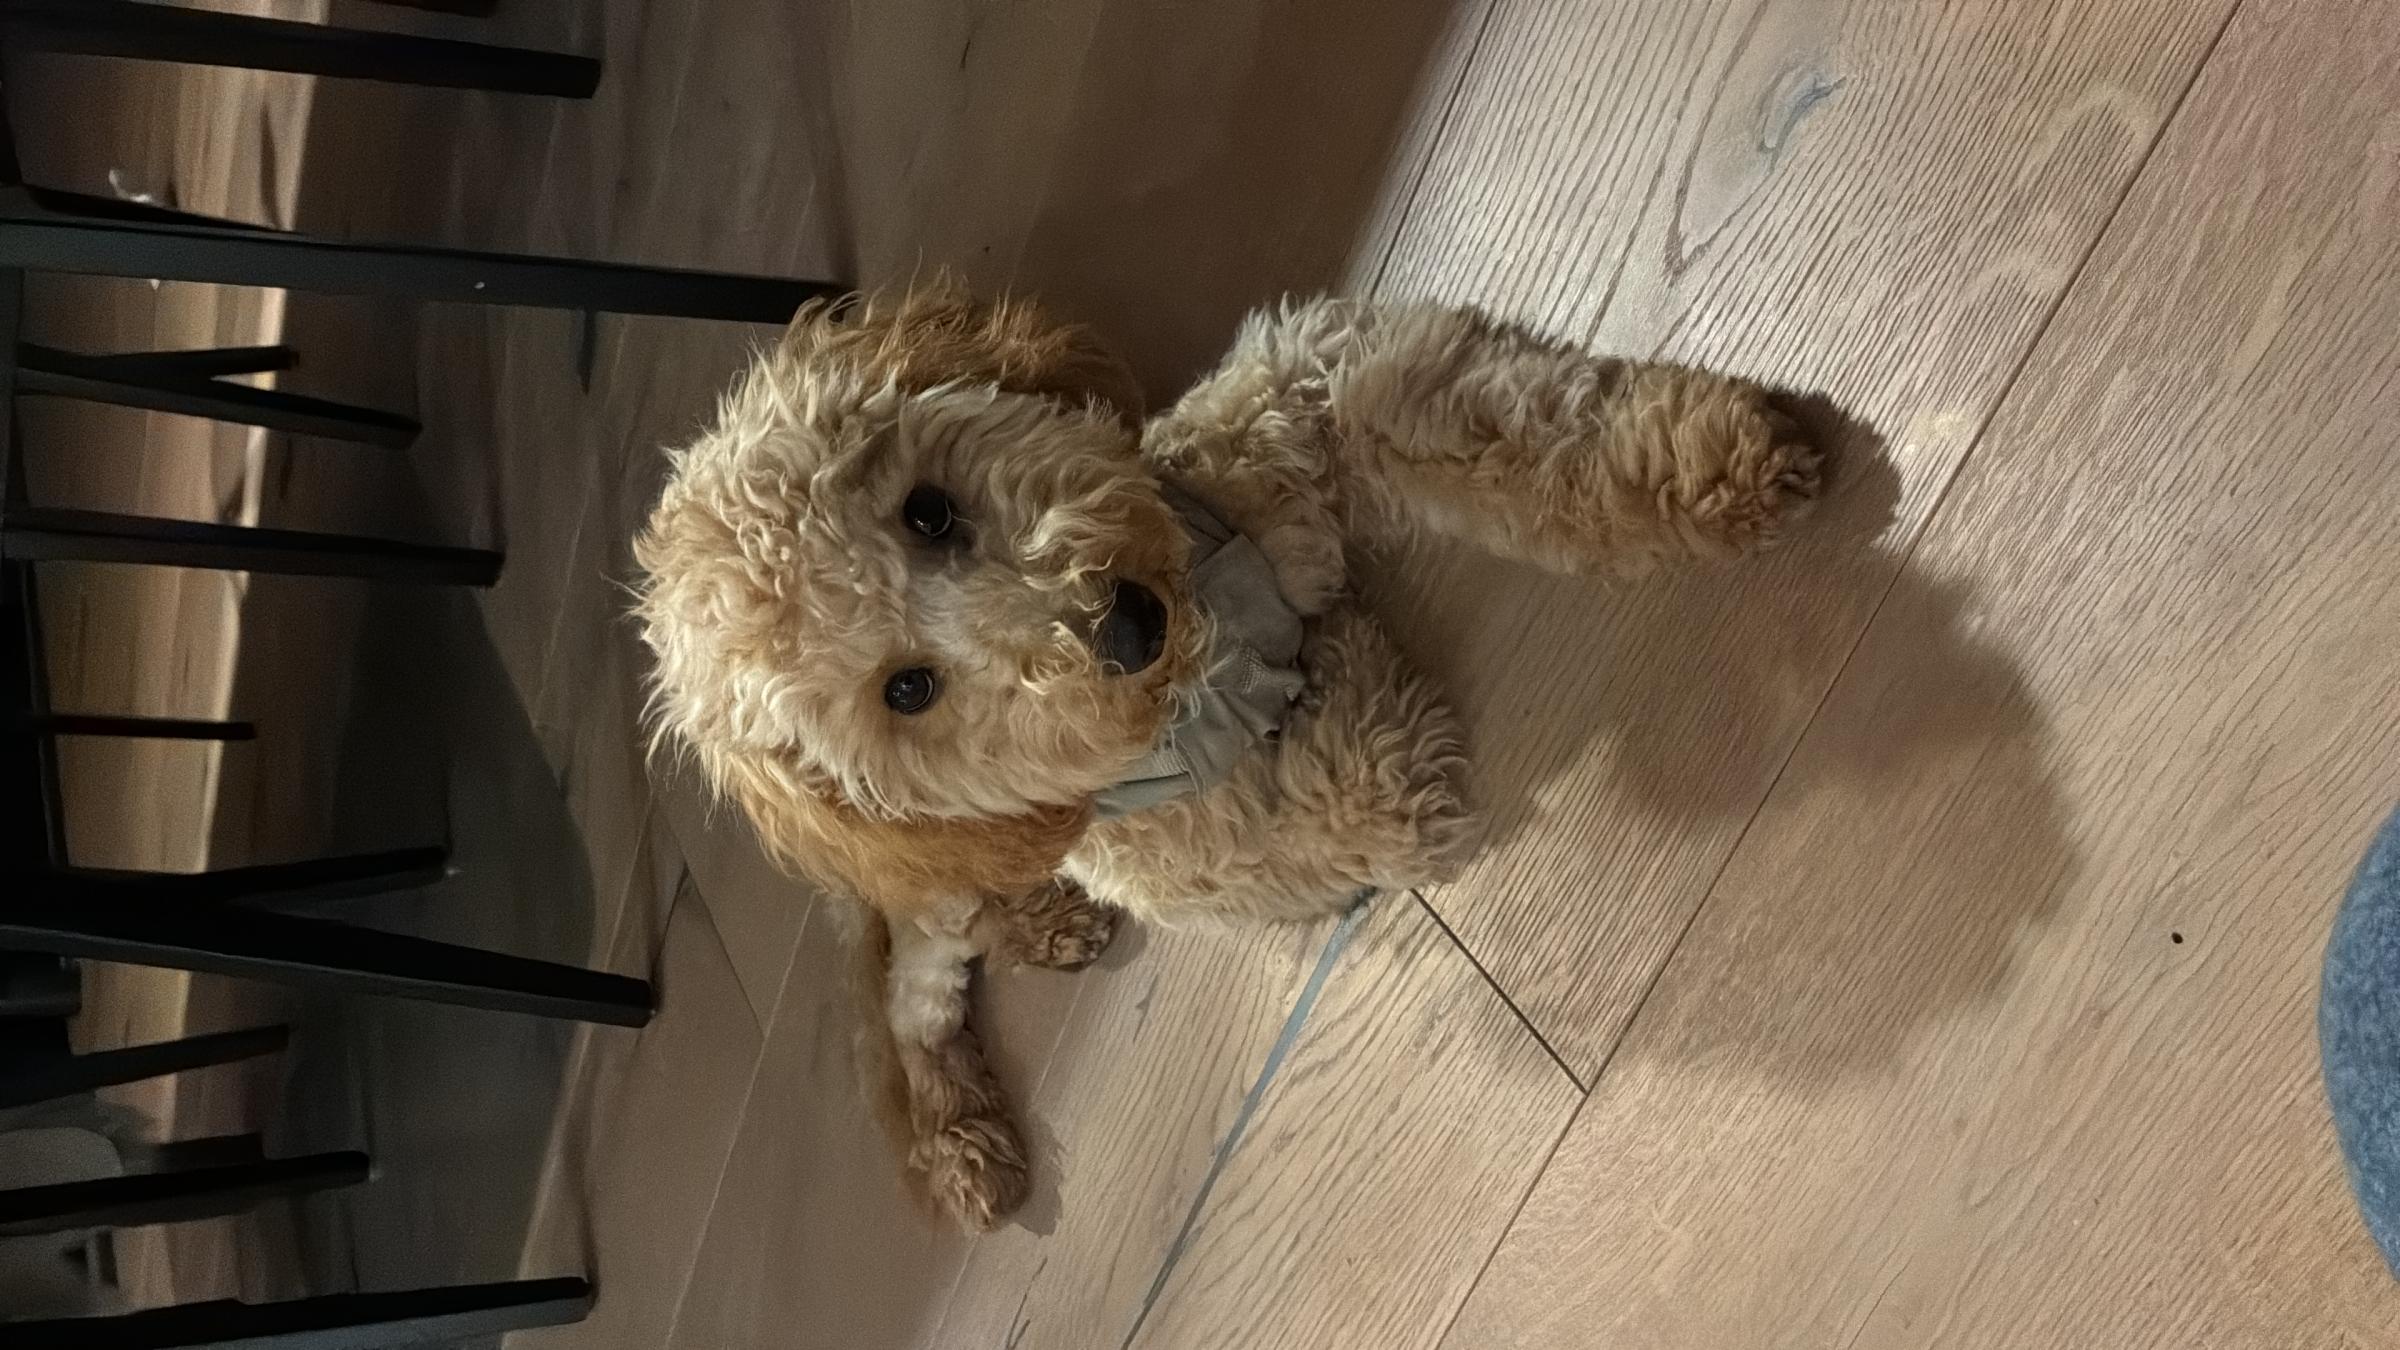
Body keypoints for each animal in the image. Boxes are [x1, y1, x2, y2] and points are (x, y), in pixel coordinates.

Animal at [632, 285, 1820, 1229]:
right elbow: (1366, 792)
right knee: (912, 995)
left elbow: (1497, 421)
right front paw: (1352, 675)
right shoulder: (1201, 848)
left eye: (928, 511)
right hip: (951, 898)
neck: (1211, 640)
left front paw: (1713, 463)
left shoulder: (1307, 408)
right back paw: (971, 1136)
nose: (1121, 626)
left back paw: (1050, 929)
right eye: (907, 691)